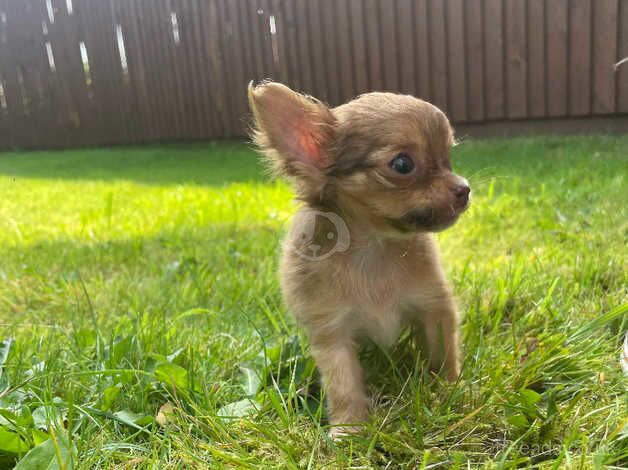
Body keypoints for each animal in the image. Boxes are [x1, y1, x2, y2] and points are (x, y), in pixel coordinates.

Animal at [248, 81, 468, 436]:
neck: (373, 249)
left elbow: (443, 355)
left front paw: (448, 390)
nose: (465, 188)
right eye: (403, 165)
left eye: (447, 157)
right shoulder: (331, 332)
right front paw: (349, 427)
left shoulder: (434, 308)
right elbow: (344, 384)